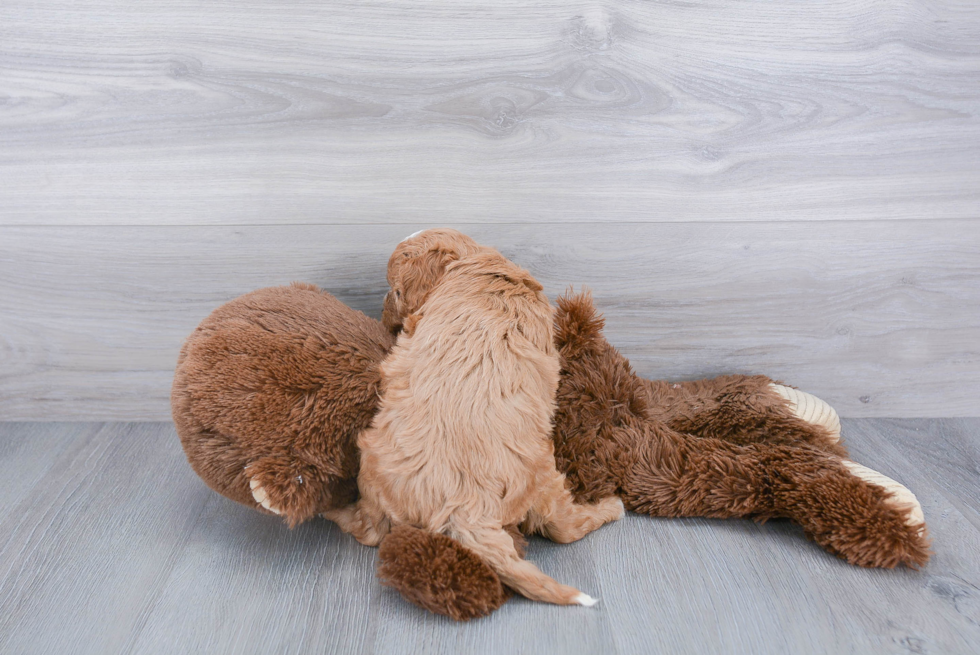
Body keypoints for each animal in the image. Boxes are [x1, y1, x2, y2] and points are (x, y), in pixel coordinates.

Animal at [326, 228, 624, 608]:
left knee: (369, 530)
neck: (472, 262)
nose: (382, 314)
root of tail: (465, 507)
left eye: (395, 291)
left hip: (376, 468)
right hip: (543, 475)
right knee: (563, 527)